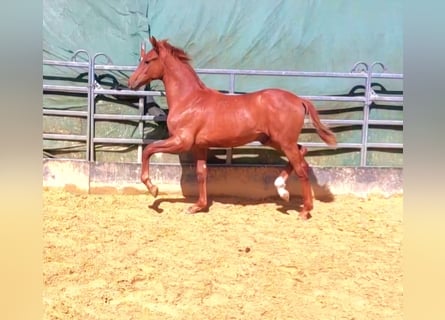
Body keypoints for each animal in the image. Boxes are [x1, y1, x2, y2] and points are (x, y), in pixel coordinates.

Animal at [126, 36, 334, 219]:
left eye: (148, 61)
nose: (131, 82)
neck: (190, 100)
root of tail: (299, 99)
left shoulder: (181, 142)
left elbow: (149, 150)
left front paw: (153, 189)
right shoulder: (200, 146)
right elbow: (201, 173)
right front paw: (197, 206)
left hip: (284, 142)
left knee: (301, 169)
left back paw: (304, 210)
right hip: (274, 140)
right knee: (302, 153)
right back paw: (282, 190)